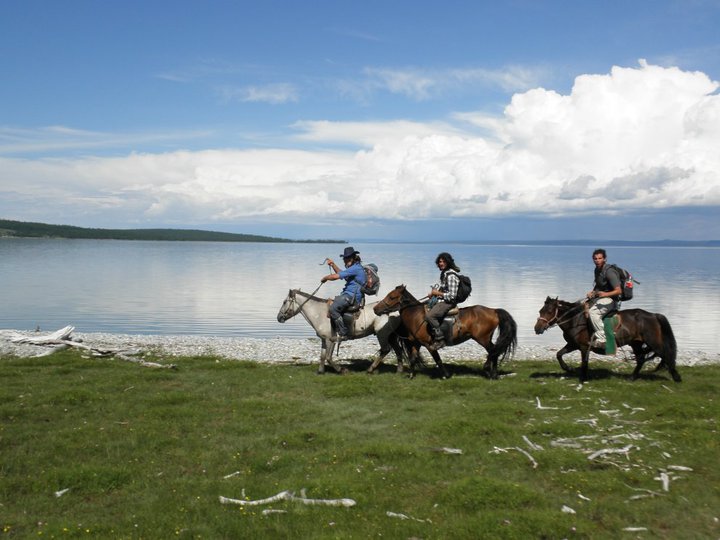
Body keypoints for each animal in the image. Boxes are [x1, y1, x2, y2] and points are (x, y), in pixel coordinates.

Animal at [278, 288, 408, 374]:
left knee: (385, 350)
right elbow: (322, 356)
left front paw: (341, 369)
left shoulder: (331, 340)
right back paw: (399, 370)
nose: (279, 317)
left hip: (382, 334)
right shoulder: (324, 340)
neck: (319, 314)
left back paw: (370, 369)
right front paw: (320, 371)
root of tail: (396, 311)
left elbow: (328, 357)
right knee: (398, 350)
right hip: (391, 336)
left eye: (284, 302)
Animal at [372, 282, 516, 380]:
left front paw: (445, 375)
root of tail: (493, 311)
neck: (416, 316)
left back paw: (489, 371)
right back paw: (494, 373)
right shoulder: (416, 344)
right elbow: (413, 359)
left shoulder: (429, 345)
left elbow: (438, 360)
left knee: (493, 351)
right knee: (495, 351)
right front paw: (411, 375)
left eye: (391, 297)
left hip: (483, 338)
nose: (375, 309)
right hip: (485, 338)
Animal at [536, 296, 680, 384]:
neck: (575, 320)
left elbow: (584, 362)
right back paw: (632, 377)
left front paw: (582, 378)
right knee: (640, 359)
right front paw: (568, 369)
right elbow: (559, 354)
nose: (537, 328)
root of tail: (654, 315)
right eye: (540, 311)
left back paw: (677, 378)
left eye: (549, 311)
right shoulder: (573, 344)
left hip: (653, 343)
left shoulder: (583, 347)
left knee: (666, 355)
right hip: (636, 343)